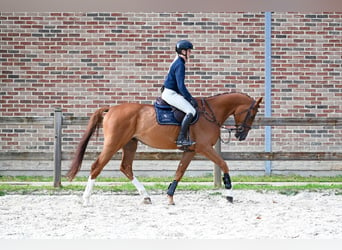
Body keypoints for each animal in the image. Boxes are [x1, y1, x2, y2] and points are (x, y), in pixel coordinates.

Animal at [67, 92, 262, 205]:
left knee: (126, 167)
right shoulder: (205, 148)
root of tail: (112, 109)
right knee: (97, 166)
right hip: (113, 143)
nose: (241, 135)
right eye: (252, 113)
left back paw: (145, 196)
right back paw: (86, 199)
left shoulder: (191, 151)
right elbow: (224, 164)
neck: (211, 112)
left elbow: (179, 172)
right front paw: (229, 194)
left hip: (130, 143)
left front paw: (170, 195)